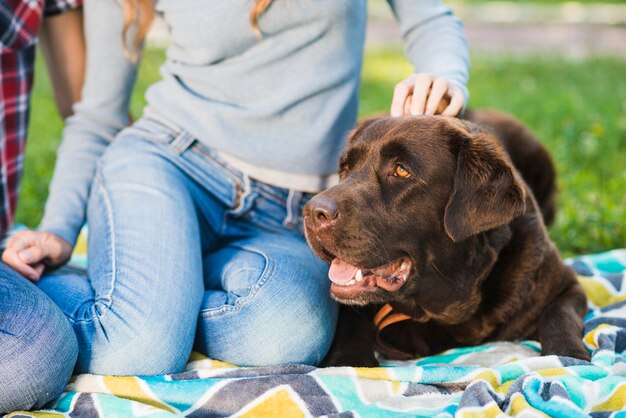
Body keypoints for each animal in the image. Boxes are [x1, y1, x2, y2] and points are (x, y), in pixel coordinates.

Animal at [304, 108, 588, 366]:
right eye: (345, 168)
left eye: (401, 171)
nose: (312, 211)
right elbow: (350, 324)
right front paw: (349, 362)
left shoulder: (565, 284)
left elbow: (558, 316)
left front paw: (568, 356)